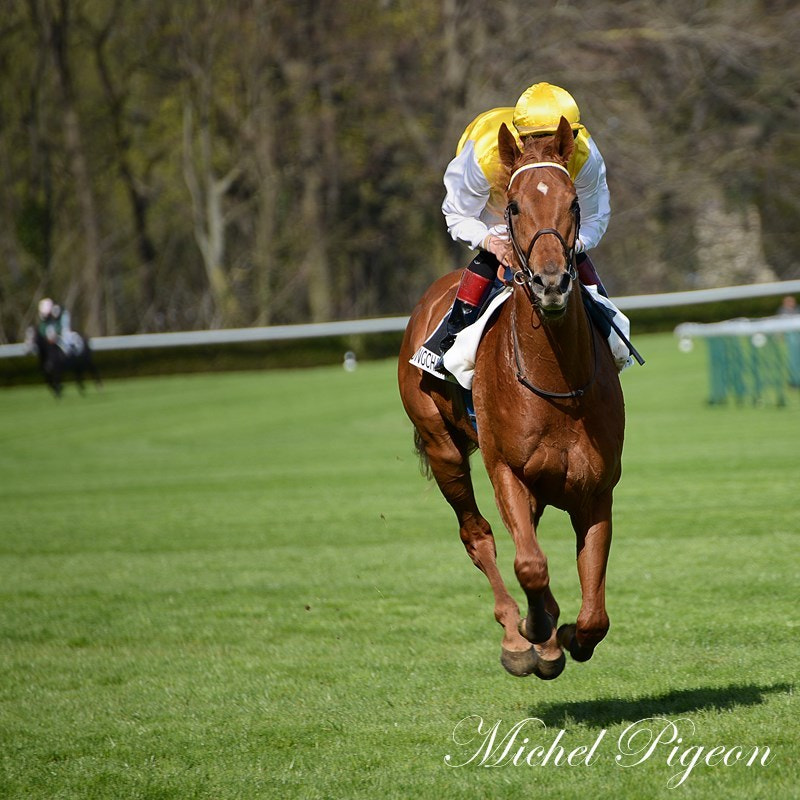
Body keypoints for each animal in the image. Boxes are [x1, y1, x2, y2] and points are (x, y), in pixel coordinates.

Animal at [398, 117, 624, 680]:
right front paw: (536, 631)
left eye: (573, 202)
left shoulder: (596, 488)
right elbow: (530, 563)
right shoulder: (507, 470)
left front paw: (567, 635)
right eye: (516, 205)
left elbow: (595, 614)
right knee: (478, 535)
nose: (551, 282)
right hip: (442, 448)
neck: (559, 387)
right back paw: (517, 636)